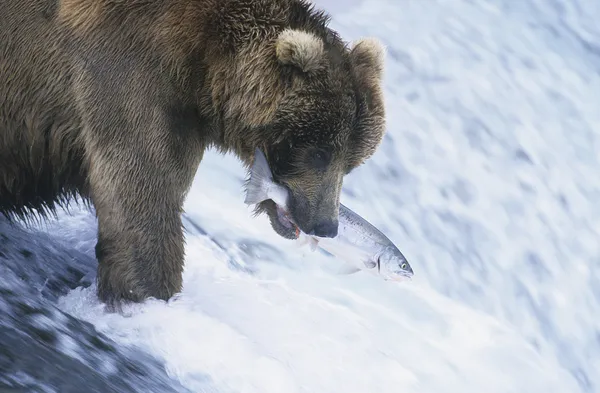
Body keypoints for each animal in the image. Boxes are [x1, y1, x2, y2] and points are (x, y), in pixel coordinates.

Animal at [0, 0, 384, 306]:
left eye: (351, 162)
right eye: (319, 152)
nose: (326, 224)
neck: (205, 67)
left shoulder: (185, 118)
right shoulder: (133, 75)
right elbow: (142, 198)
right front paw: (150, 295)